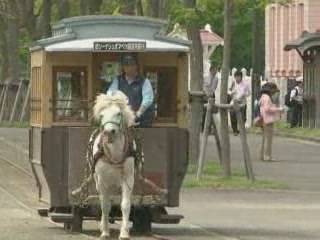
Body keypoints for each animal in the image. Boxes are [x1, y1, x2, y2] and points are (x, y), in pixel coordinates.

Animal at [94, 90, 136, 240]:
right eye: (101, 115)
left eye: (118, 113)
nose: (109, 132)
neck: (114, 155)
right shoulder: (102, 180)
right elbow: (105, 205)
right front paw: (105, 232)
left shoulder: (128, 178)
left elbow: (125, 204)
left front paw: (124, 232)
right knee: (104, 201)